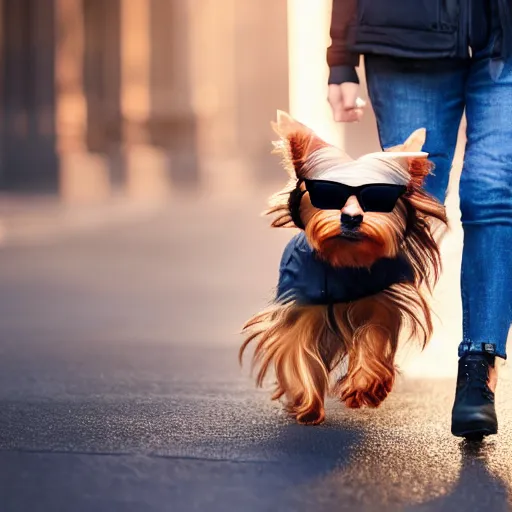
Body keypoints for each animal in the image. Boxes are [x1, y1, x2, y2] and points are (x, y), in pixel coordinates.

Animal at [238, 111, 446, 424]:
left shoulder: (378, 302)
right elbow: (296, 349)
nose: (350, 217)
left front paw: (365, 384)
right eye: (327, 194)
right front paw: (307, 404)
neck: (345, 261)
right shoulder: (303, 304)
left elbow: (373, 337)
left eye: (377, 198)